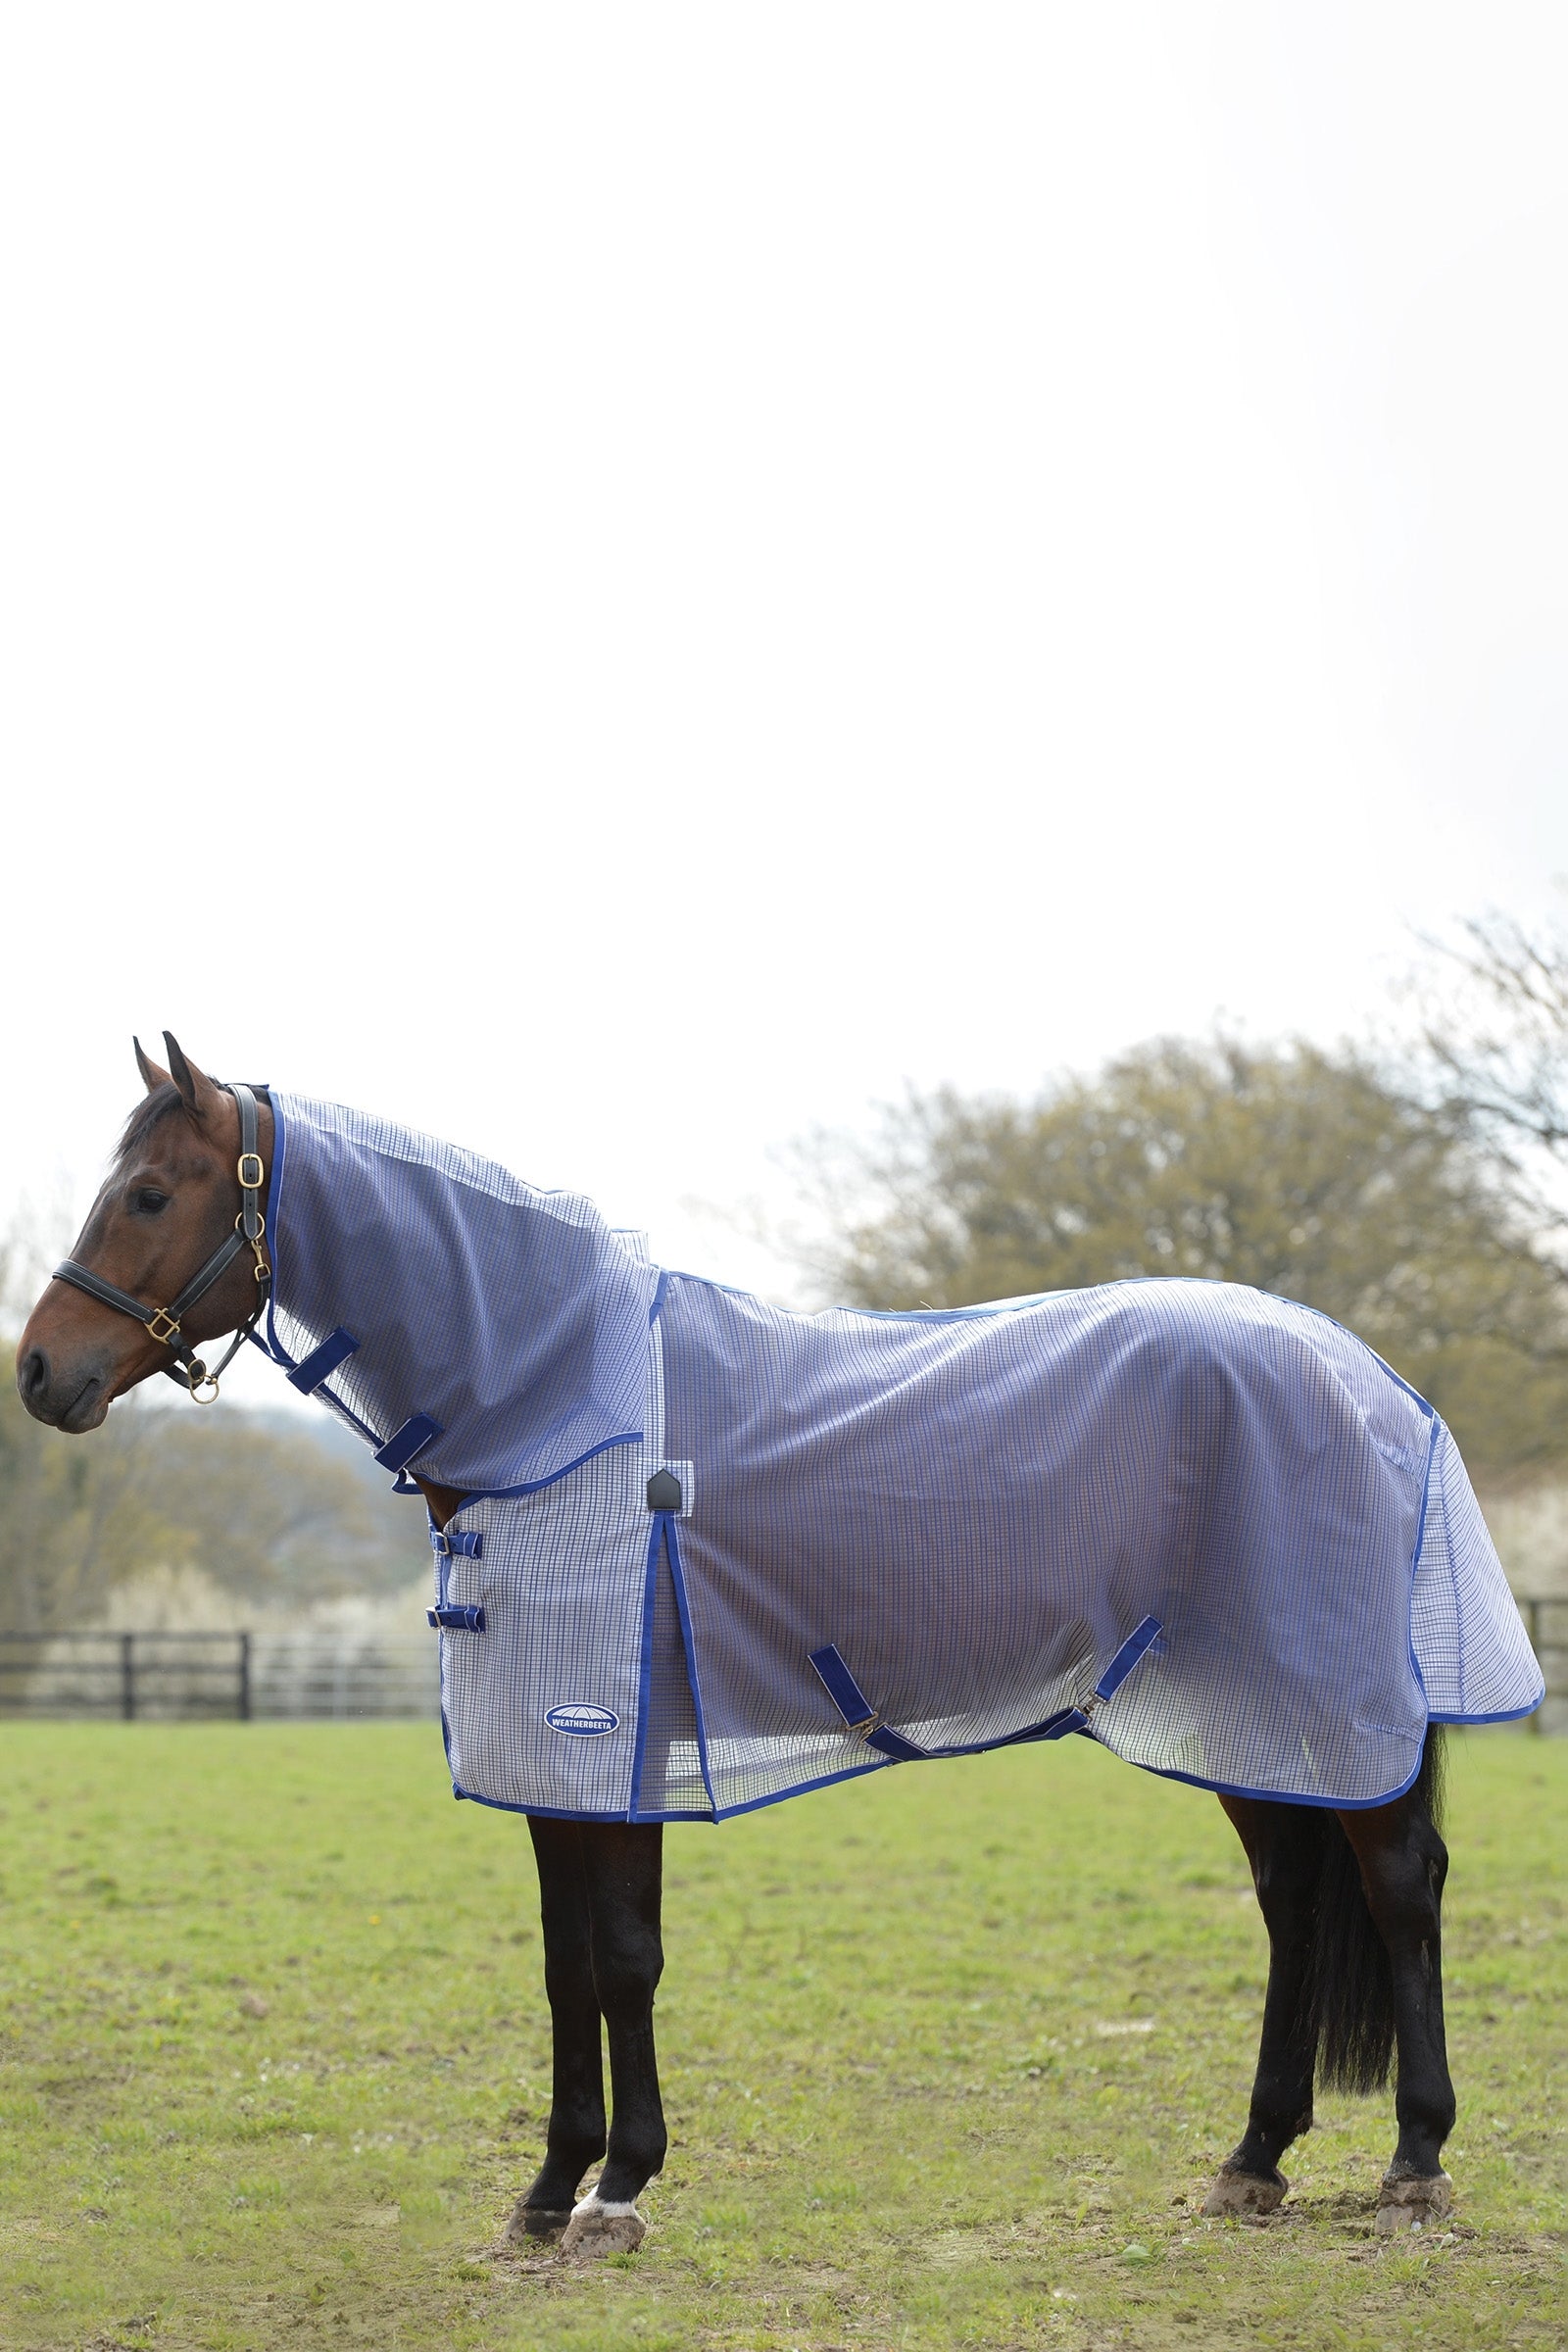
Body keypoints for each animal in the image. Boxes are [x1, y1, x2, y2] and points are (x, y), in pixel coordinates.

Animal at [16, 1035, 1542, 2257]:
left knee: (1398, 1889)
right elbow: (566, 1966)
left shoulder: (605, 1748)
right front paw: (548, 2190)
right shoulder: (557, 1770)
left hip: (1326, 1709)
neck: (567, 1404)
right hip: (1242, 1712)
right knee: (1294, 1903)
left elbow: (623, 1960)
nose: (40, 1371)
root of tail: (1376, 1382)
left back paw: (1416, 2160)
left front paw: (617, 2191)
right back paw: (1253, 2160)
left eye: (151, 1193)